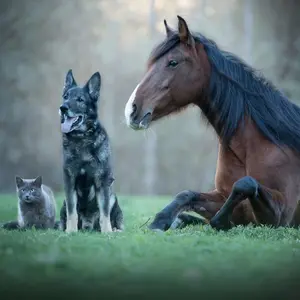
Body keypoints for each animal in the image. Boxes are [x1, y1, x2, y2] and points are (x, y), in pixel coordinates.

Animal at [58, 71, 123, 234]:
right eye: (66, 96)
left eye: (80, 99)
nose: (63, 108)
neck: (81, 138)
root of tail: (88, 225)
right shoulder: (70, 181)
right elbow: (71, 211)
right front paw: (70, 231)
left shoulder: (103, 181)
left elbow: (104, 212)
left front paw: (107, 232)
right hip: (64, 200)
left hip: (112, 196)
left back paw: (114, 230)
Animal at [125, 15, 300, 232]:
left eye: (173, 62)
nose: (131, 110)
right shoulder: (222, 195)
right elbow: (186, 194)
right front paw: (161, 220)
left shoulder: (281, 215)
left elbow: (245, 184)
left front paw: (220, 220)